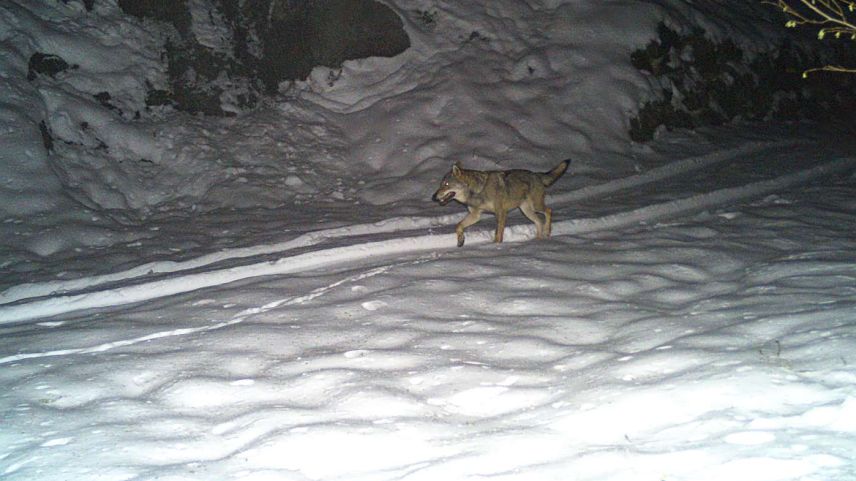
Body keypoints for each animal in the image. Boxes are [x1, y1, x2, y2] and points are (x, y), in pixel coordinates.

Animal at [434, 158, 568, 246]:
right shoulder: (475, 215)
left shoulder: (501, 213)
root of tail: (536, 174)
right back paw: (538, 240)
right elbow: (458, 225)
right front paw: (460, 240)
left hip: (536, 207)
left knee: (548, 211)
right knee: (539, 221)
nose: (433, 197)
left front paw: (497, 247)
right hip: (527, 211)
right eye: (441, 185)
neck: (478, 190)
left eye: (446, 185)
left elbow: (498, 234)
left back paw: (547, 232)